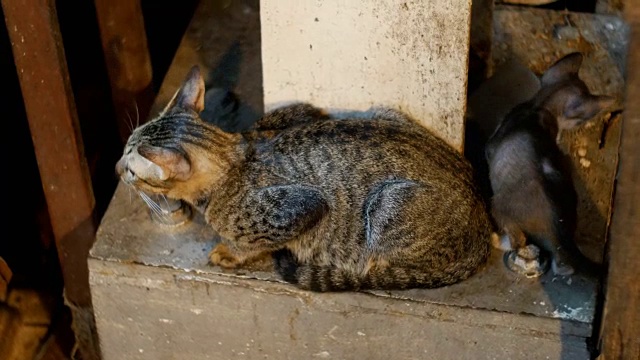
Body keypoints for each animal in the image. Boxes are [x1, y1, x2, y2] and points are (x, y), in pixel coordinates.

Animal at [116, 66, 496, 292]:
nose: (117, 168)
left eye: (133, 170)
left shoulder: (299, 208)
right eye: (124, 147)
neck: (234, 152)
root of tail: (482, 217)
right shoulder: (305, 111)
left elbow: (254, 241)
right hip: (382, 112)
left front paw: (230, 252)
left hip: (388, 204)